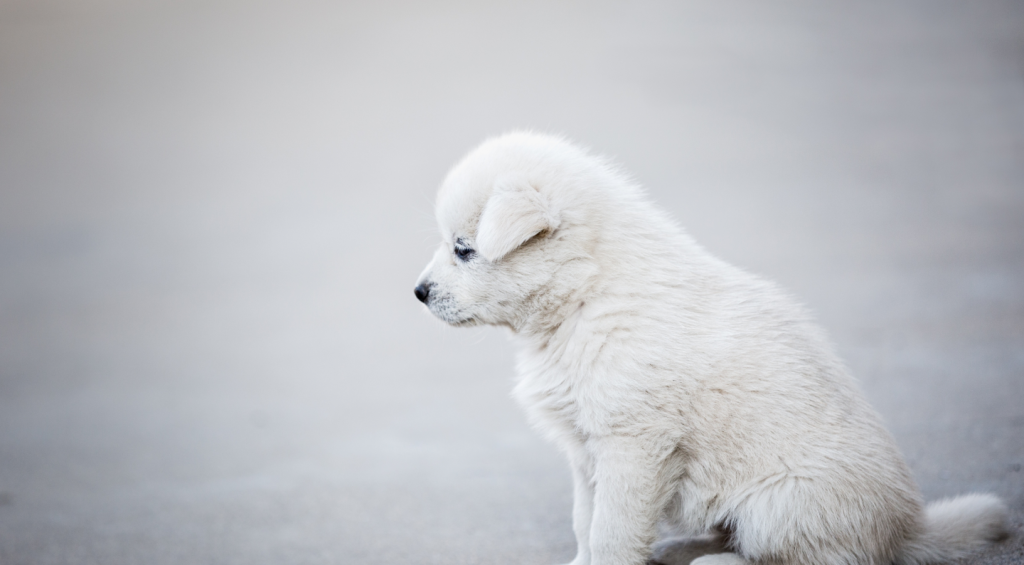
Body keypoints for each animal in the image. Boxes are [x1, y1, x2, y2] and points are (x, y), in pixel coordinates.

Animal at [411, 133, 1003, 565]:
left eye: (463, 249)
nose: (418, 292)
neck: (586, 295)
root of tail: (905, 532)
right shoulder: (586, 447)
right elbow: (585, 520)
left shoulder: (632, 443)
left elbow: (610, 530)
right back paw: (679, 548)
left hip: (780, 503)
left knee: (804, 559)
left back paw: (715, 562)